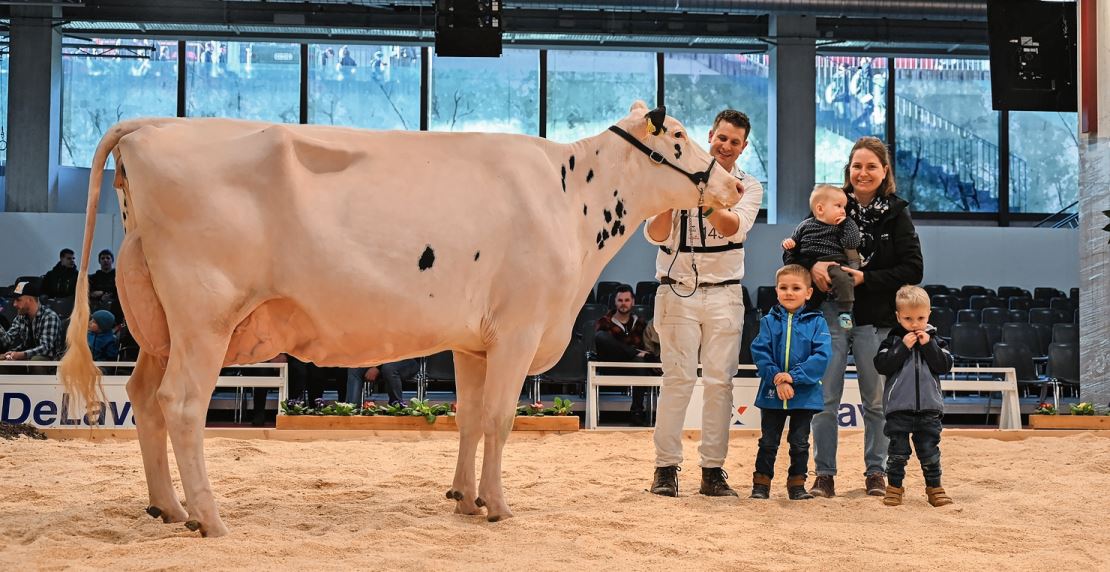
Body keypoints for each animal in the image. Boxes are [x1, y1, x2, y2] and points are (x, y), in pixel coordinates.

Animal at [56, 101, 741, 537]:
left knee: (144, 397)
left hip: (157, 323)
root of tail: (149, 126)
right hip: (204, 316)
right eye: (679, 139)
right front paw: (498, 506)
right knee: (181, 404)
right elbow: (500, 419)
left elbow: (469, 418)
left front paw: (465, 499)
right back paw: (209, 518)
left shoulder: (474, 341)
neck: (571, 196)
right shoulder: (518, 329)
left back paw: (167, 509)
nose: (734, 186)